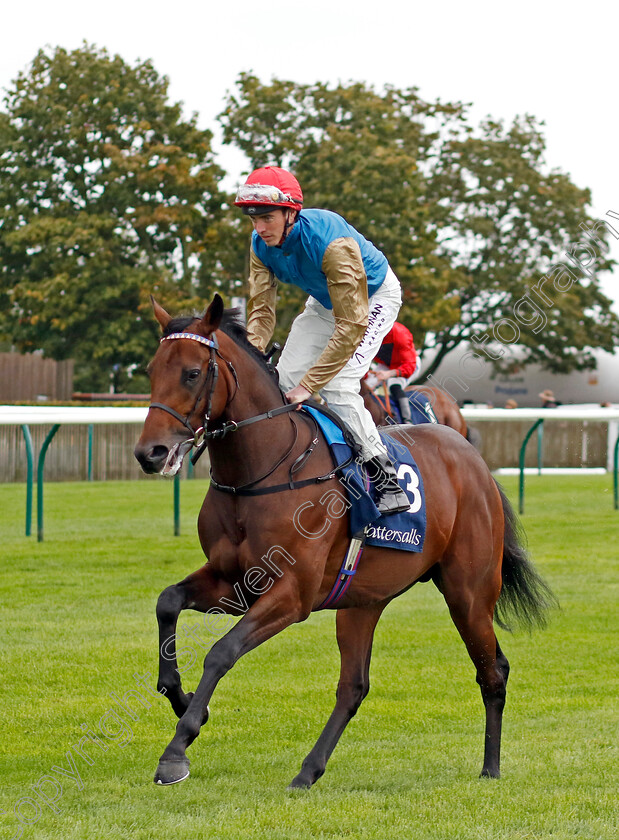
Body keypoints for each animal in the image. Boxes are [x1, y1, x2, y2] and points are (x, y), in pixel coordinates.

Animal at [133, 294, 556, 788]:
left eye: (192, 373)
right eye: (151, 369)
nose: (150, 453)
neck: (261, 472)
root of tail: (471, 456)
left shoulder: (292, 594)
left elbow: (221, 652)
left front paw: (177, 748)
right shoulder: (234, 580)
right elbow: (168, 601)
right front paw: (179, 697)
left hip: (468, 593)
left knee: (493, 670)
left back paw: (490, 766)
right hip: (362, 600)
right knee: (354, 686)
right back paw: (308, 771)